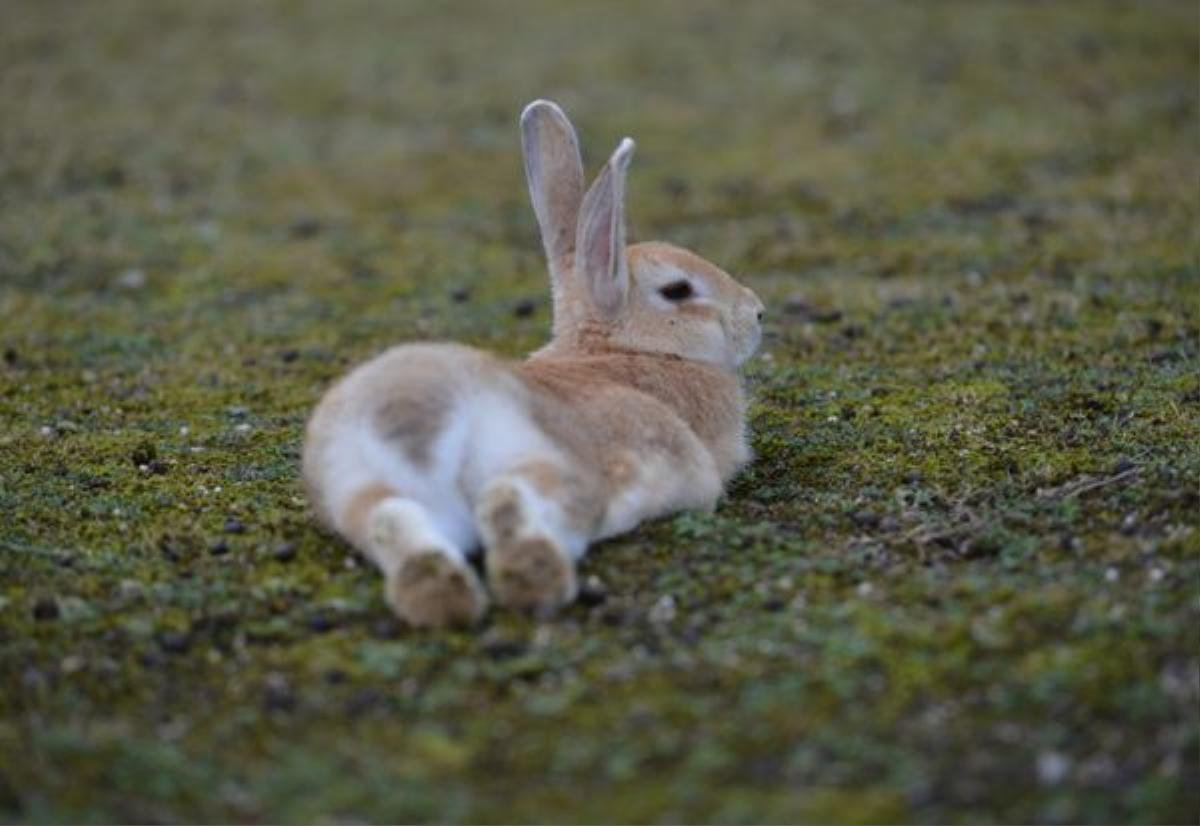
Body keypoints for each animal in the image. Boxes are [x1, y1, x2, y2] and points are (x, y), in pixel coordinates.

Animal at [304, 100, 763, 629]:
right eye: (678, 290)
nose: (756, 313)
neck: (622, 349)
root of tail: (415, 416)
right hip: (550, 461)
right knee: (504, 500)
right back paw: (536, 583)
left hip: (357, 487)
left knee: (391, 519)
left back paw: (443, 598)